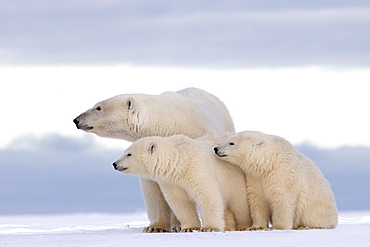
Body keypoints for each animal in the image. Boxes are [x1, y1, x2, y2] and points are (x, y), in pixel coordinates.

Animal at [112, 134, 251, 233]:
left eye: (129, 154)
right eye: (125, 152)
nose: (115, 164)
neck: (180, 161)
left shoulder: (197, 169)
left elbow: (207, 196)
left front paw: (210, 227)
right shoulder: (172, 181)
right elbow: (180, 202)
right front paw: (189, 228)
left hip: (236, 180)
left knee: (240, 203)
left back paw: (243, 226)